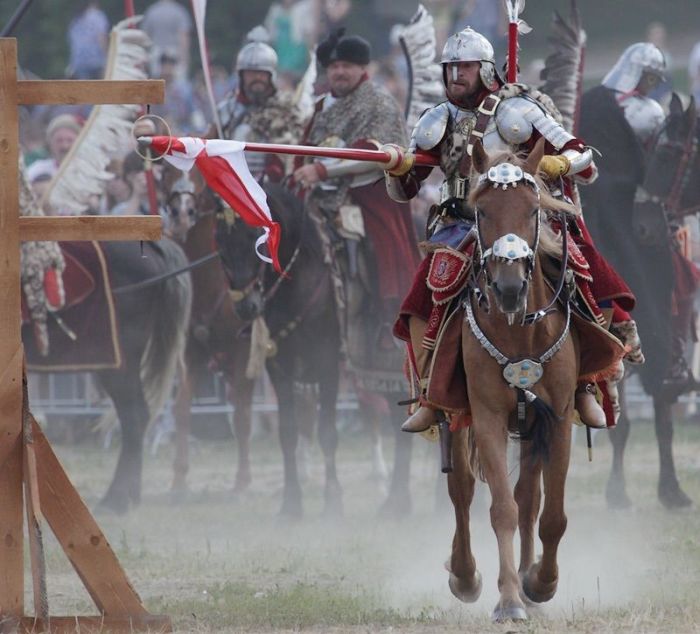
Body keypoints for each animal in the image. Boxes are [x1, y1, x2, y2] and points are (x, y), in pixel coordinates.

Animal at [446, 139, 584, 624]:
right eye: (483, 211)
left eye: (532, 209)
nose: (509, 289)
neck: (521, 333)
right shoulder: (486, 417)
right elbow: (501, 509)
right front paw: (508, 599)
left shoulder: (556, 418)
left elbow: (551, 515)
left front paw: (540, 583)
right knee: (463, 491)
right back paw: (465, 575)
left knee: (530, 498)